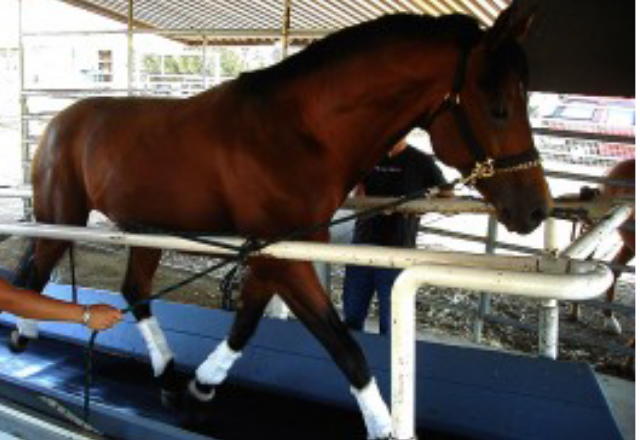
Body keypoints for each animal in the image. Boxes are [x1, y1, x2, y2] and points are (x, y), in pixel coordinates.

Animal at [10, 6, 552, 440]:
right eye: (499, 107)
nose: (536, 210)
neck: (298, 133)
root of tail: (60, 122)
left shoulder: (276, 252)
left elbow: (246, 325)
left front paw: (199, 389)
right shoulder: (284, 257)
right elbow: (345, 348)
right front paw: (382, 426)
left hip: (145, 229)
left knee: (134, 291)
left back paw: (164, 376)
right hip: (61, 217)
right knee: (35, 276)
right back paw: (22, 334)